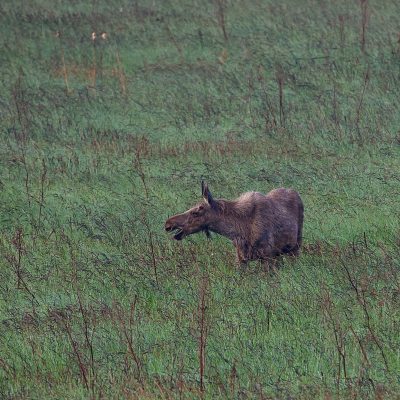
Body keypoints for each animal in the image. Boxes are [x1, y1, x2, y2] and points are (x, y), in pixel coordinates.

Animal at [165, 182, 304, 266]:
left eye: (196, 212)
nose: (168, 223)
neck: (239, 232)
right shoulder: (241, 258)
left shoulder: (267, 256)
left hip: (295, 247)